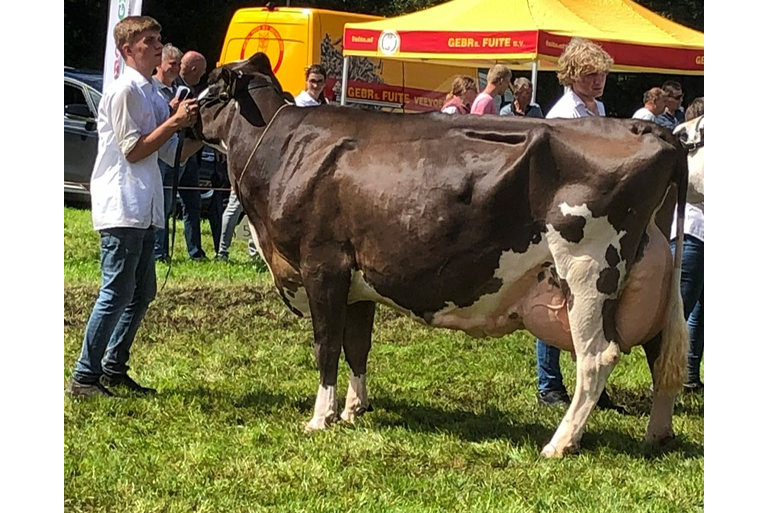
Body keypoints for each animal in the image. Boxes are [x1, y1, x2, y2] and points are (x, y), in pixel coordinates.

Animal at [192, 54, 688, 458]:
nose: (186, 110)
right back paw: (656, 435)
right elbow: (358, 345)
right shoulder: (358, 281)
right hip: (650, 274)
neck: (285, 150)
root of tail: (652, 129)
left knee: (598, 356)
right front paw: (355, 409)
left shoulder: (322, 266)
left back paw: (560, 443)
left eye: (211, 87)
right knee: (660, 353)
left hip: (587, 270)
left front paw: (320, 417)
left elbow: (327, 344)